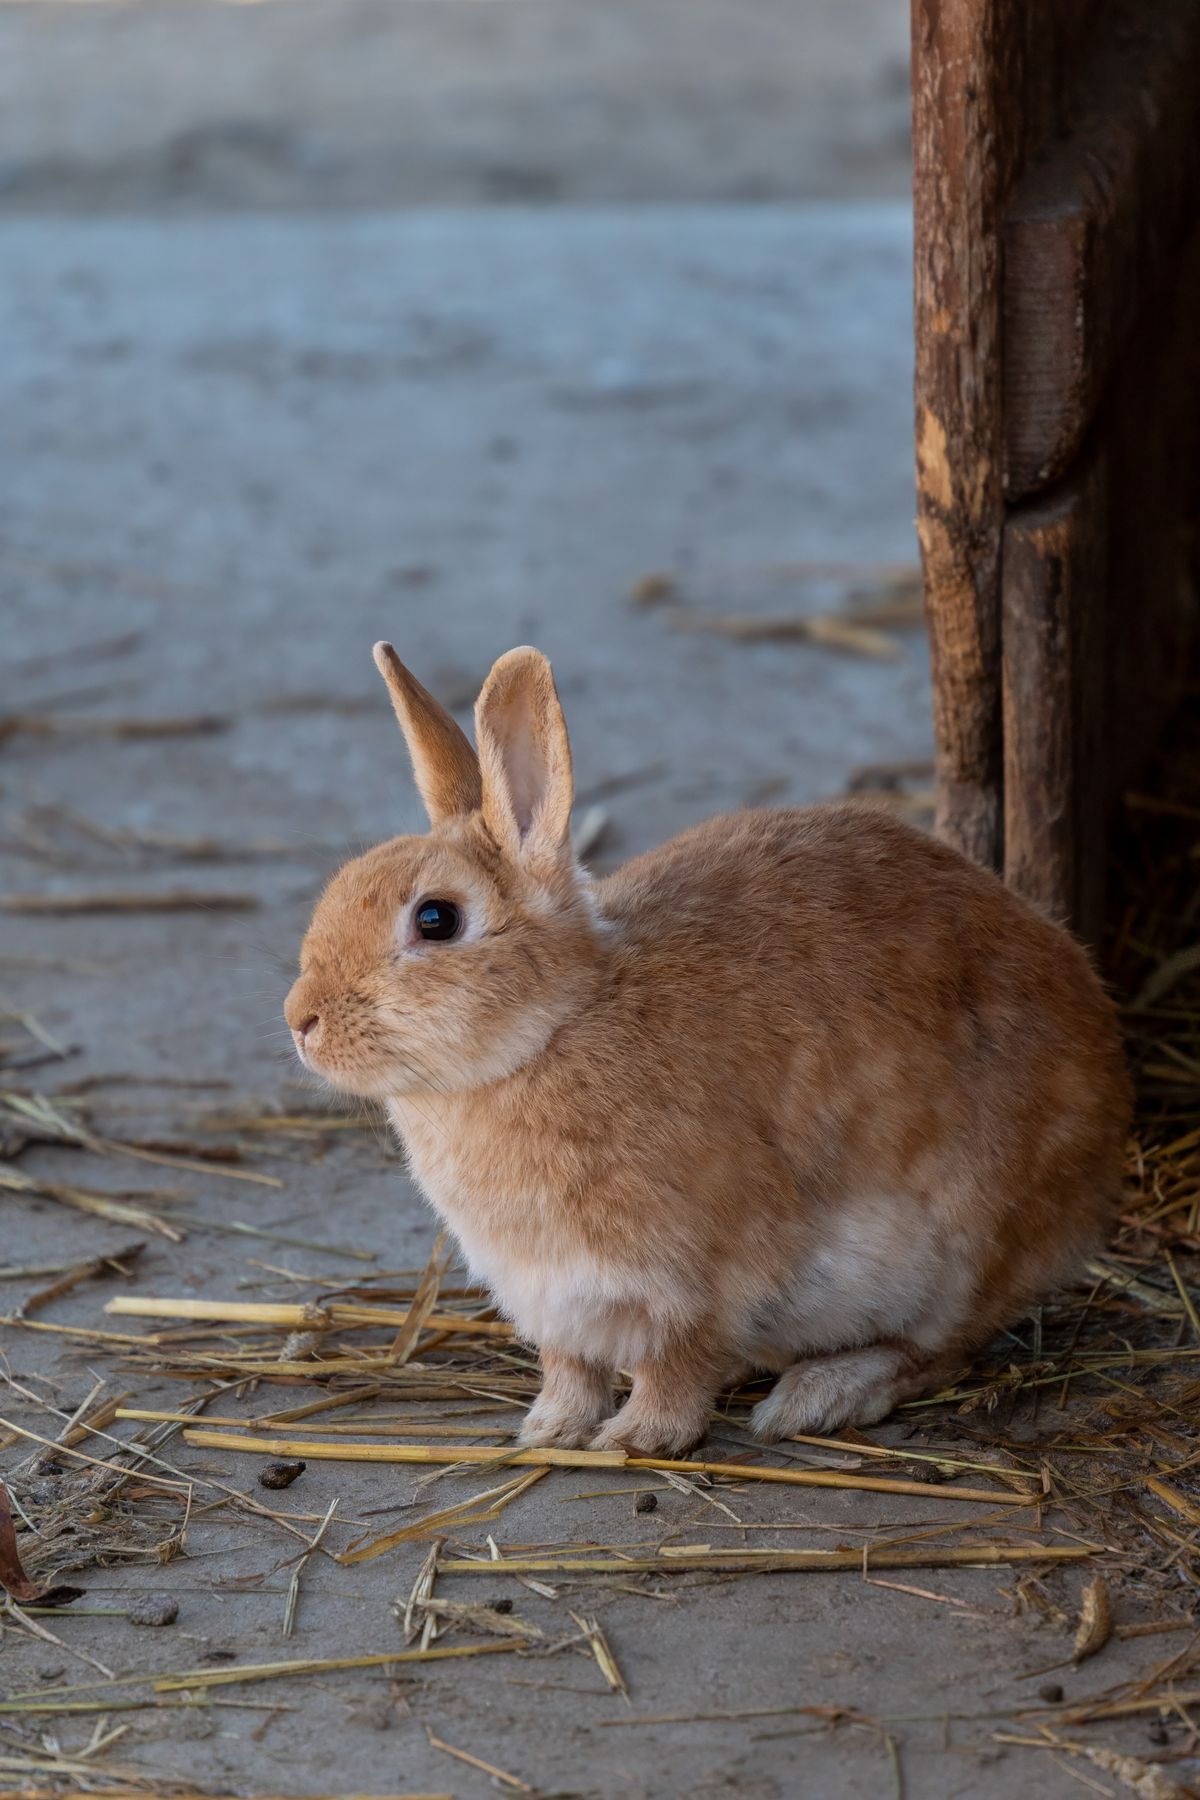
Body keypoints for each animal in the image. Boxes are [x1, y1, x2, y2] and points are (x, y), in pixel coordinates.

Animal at [284, 642, 1130, 1457]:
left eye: (436, 920)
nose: (300, 1019)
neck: (555, 1028)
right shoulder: (553, 1302)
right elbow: (570, 1369)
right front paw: (550, 1430)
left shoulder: (696, 1280)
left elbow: (677, 1363)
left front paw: (639, 1438)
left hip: (961, 1247)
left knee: (943, 1349)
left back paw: (818, 1396)